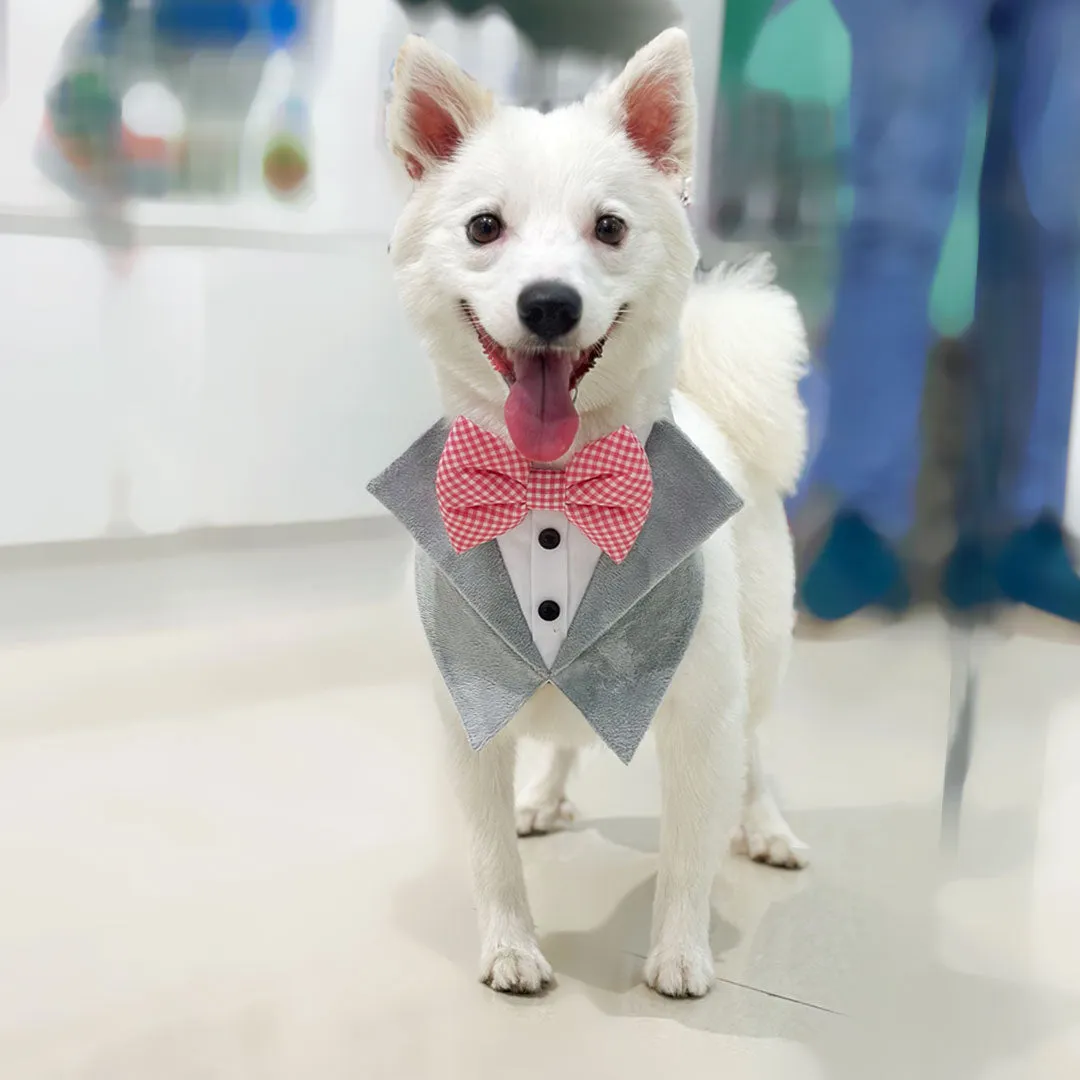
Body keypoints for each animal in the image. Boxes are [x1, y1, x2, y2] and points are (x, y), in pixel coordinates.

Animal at [382, 25, 812, 997]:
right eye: (484, 227)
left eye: (609, 228)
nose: (549, 301)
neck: (552, 483)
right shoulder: (469, 715)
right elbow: (490, 857)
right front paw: (510, 944)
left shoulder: (701, 719)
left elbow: (689, 856)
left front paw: (680, 950)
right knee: (565, 735)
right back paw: (544, 797)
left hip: (762, 662)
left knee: (759, 755)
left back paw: (766, 825)